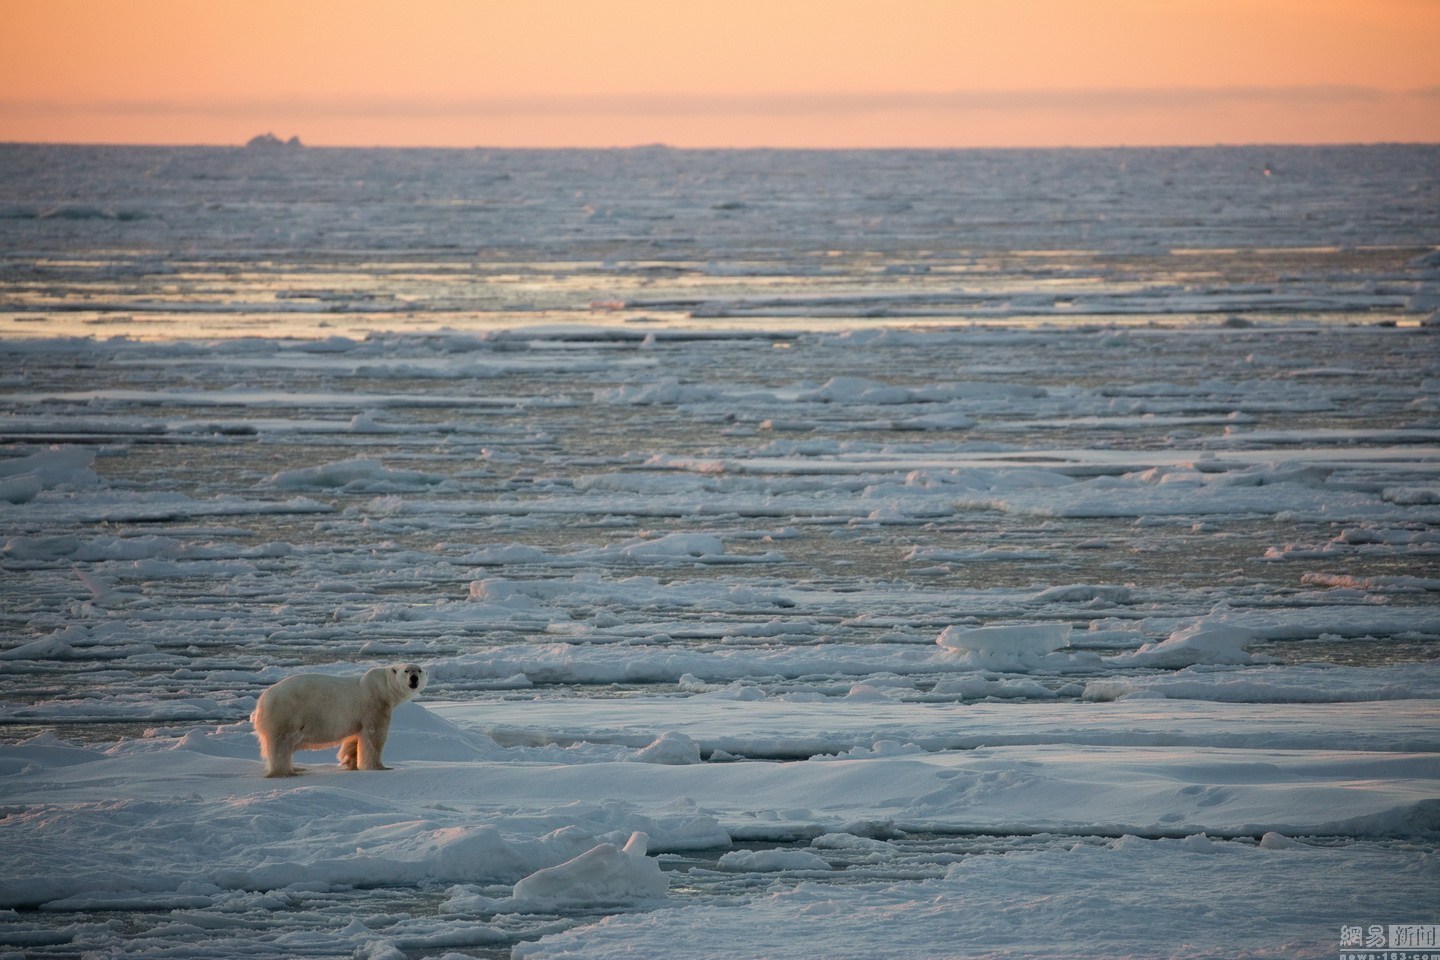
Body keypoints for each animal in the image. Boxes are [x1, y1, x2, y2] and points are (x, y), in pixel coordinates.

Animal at [253, 664, 423, 777]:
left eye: (419, 670)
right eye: (406, 670)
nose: (414, 678)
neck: (381, 687)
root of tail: (261, 702)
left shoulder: (359, 718)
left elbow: (355, 738)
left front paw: (351, 763)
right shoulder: (375, 705)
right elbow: (374, 737)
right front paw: (379, 767)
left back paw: (296, 768)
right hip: (286, 713)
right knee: (281, 744)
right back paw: (287, 772)